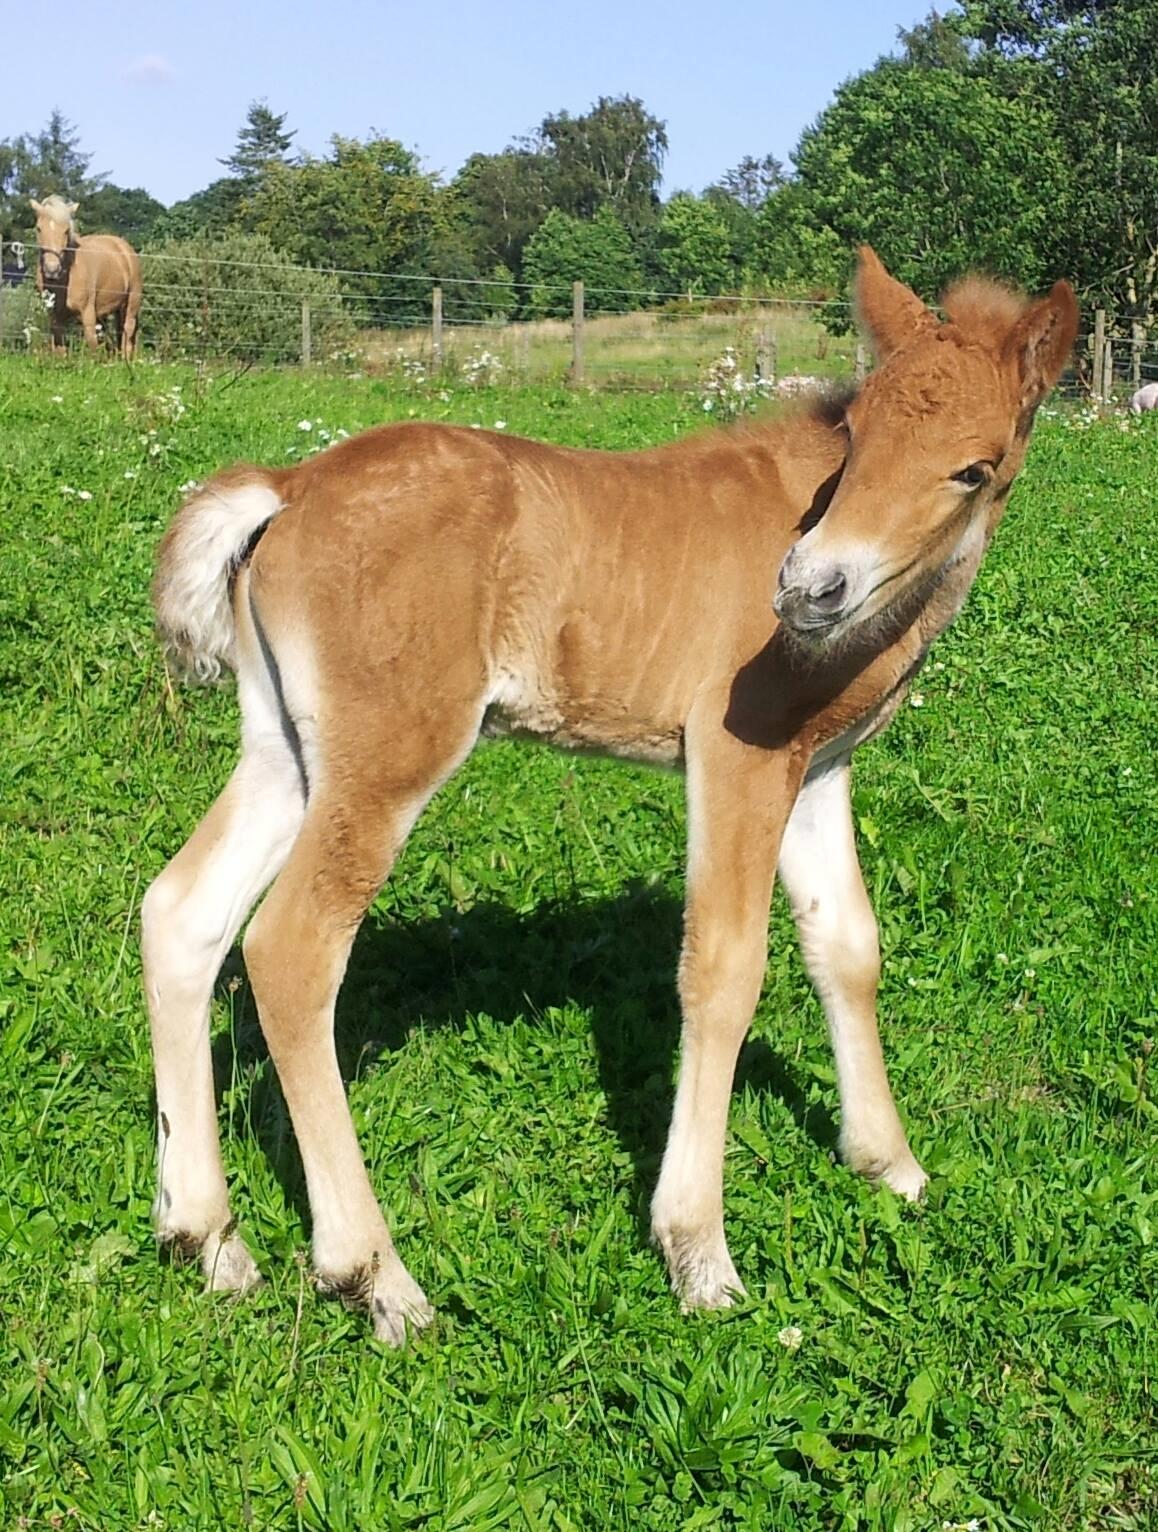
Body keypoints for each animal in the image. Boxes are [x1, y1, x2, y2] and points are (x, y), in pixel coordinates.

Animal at [31, 196, 141, 360]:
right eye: (39, 228)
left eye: (66, 231)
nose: (52, 269)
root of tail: (124, 247)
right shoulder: (55, 316)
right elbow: (59, 348)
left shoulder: (87, 312)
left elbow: (91, 342)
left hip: (132, 302)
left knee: (128, 330)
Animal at [142, 248, 1078, 1342]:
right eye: (858, 434)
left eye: (973, 466)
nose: (809, 587)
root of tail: (288, 488)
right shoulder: (739, 754)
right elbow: (724, 968)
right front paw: (698, 1251)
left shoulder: (817, 768)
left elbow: (847, 946)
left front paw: (889, 1162)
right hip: (389, 754)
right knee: (290, 949)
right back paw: (375, 1275)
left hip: (287, 752)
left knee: (183, 913)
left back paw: (207, 1238)